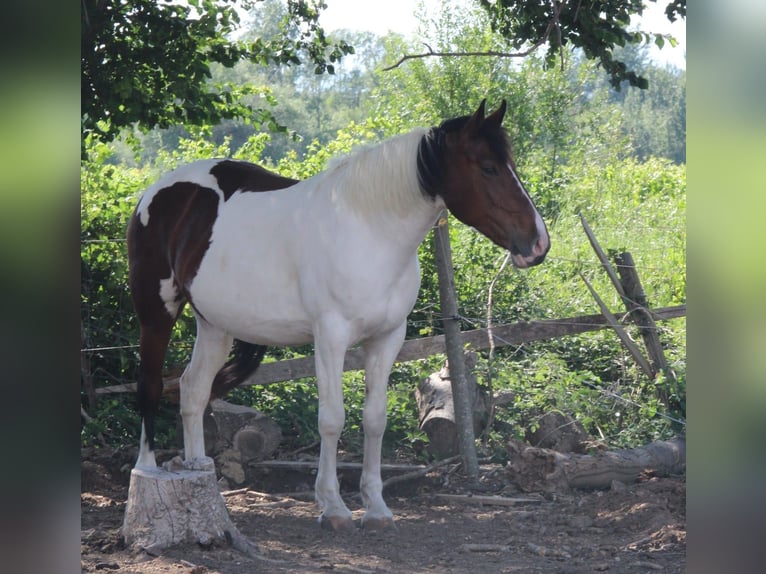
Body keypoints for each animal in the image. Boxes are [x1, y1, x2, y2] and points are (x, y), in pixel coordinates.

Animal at [127, 100, 552, 536]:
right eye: (488, 167)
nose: (538, 243)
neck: (370, 230)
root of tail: (156, 193)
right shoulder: (330, 337)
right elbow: (332, 419)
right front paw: (333, 506)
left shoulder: (388, 338)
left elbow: (375, 419)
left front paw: (376, 508)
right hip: (155, 312)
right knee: (150, 387)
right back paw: (146, 470)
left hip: (215, 325)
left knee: (193, 390)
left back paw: (200, 469)